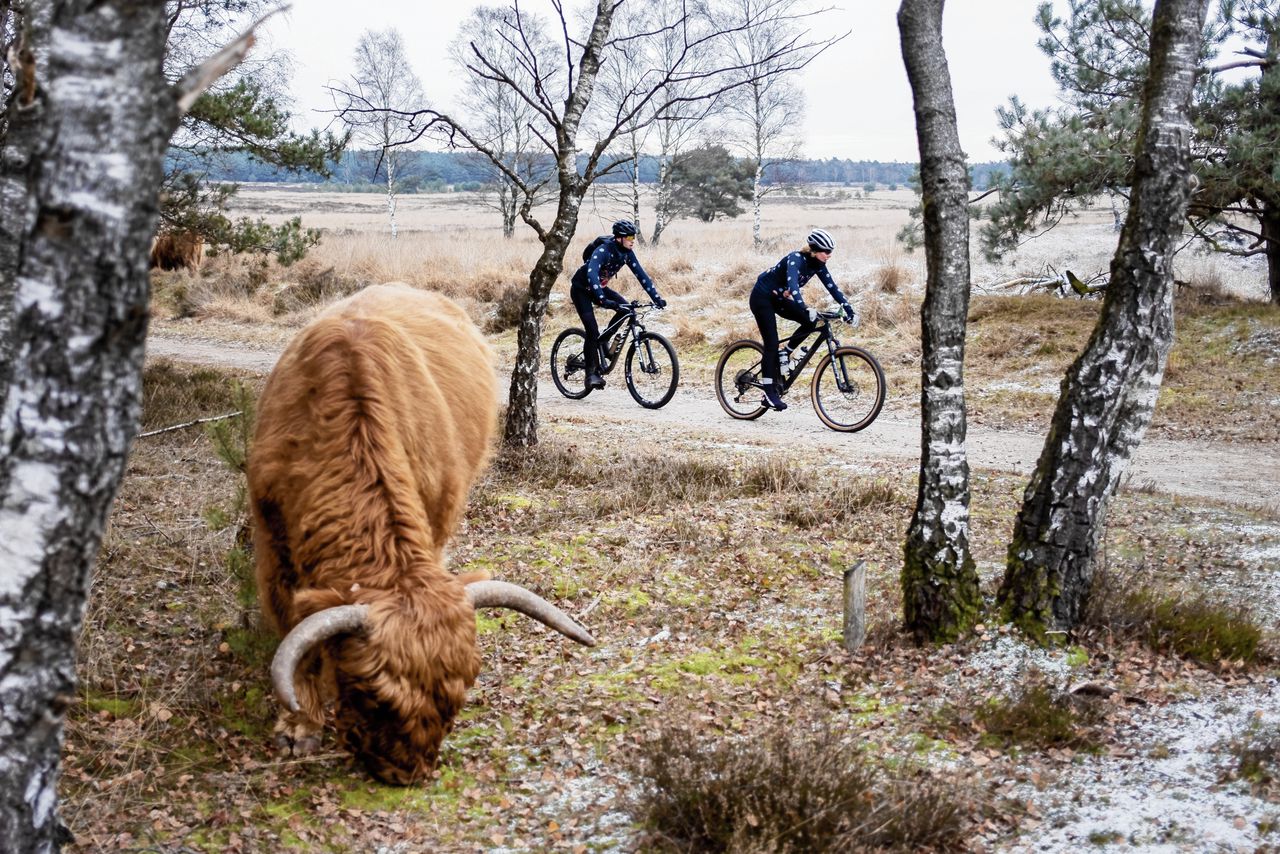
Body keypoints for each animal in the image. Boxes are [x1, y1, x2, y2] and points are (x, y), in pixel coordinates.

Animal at [249, 284, 593, 783]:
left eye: (460, 691)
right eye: (374, 697)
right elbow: (296, 636)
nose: (407, 772)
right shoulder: (273, 544)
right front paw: (299, 726)